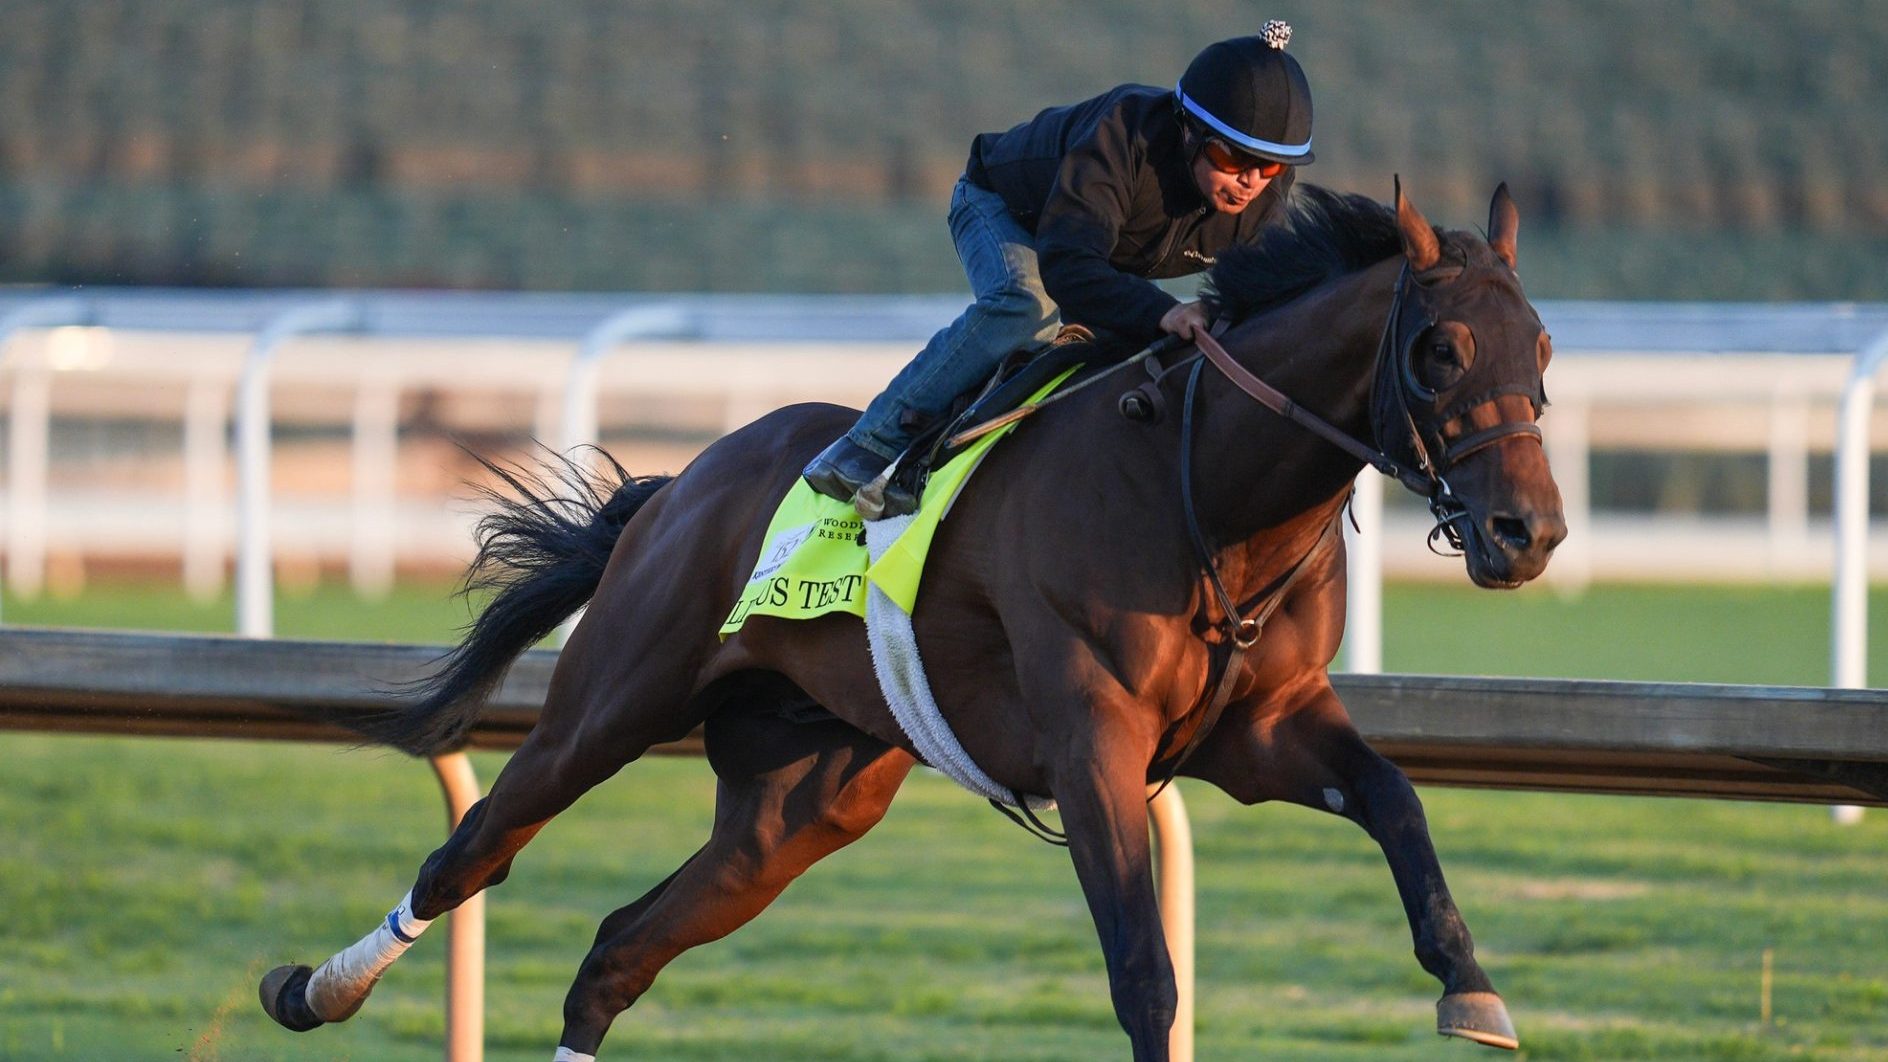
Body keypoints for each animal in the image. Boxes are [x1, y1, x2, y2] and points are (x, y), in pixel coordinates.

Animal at [258, 180, 1565, 1061]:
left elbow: (1393, 800)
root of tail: (682, 484)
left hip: (801, 801)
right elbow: (1144, 972)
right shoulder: (1093, 744)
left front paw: (1469, 986)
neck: (1205, 485)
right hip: (614, 702)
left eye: (1544, 348)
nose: (1528, 534)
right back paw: (316, 991)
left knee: (619, 949)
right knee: (473, 854)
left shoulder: (1264, 729)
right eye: (1440, 348)